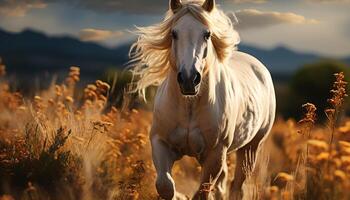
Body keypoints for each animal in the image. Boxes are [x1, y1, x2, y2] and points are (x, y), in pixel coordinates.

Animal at [130, 0, 274, 199]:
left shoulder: (215, 154)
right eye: (174, 33)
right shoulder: (160, 142)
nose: (189, 79)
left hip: (250, 149)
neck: (189, 106)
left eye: (207, 34)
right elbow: (165, 185)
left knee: (237, 186)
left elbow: (202, 193)